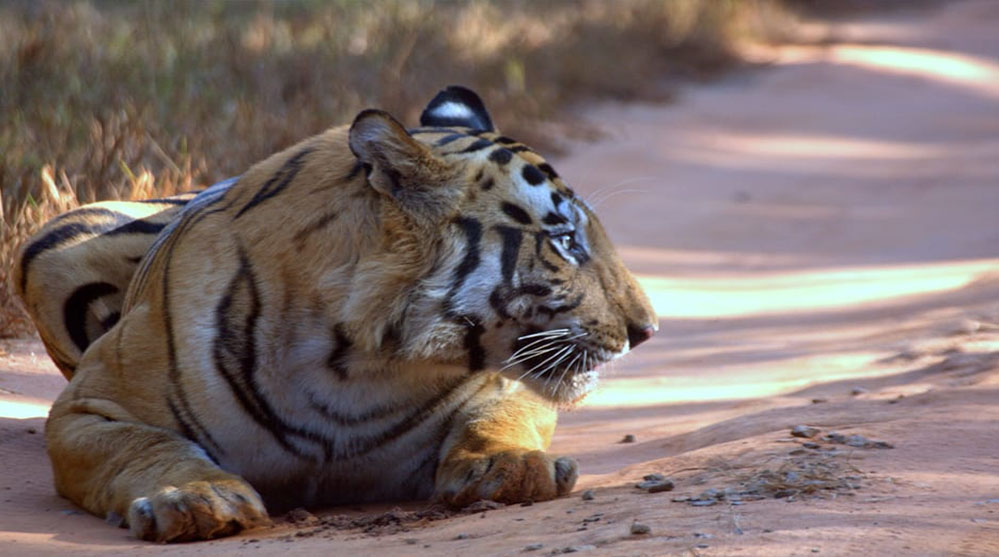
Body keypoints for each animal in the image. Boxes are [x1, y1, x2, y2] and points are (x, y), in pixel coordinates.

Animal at [17, 87, 656, 544]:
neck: (355, 364)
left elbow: (497, 417)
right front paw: (194, 497)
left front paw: (511, 466)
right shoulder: (87, 408)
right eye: (566, 241)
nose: (646, 331)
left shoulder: (506, 383)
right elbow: (142, 445)